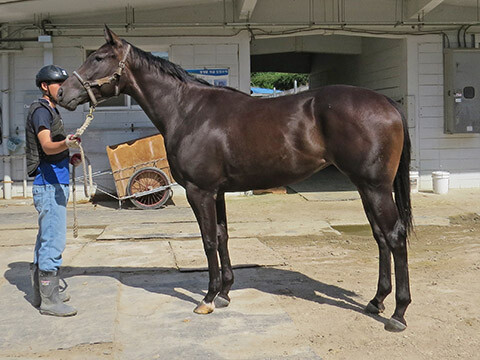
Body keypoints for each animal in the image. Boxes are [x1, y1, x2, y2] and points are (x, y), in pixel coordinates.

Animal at [58, 26, 412, 334]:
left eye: (98, 58)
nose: (61, 92)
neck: (188, 111)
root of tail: (386, 103)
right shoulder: (217, 192)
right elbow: (222, 236)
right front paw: (226, 293)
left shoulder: (199, 192)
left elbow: (208, 241)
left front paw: (208, 298)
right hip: (366, 188)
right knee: (381, 237)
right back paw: (376, 301)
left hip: (375, 188)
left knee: (394, 237)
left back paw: (398, 313)